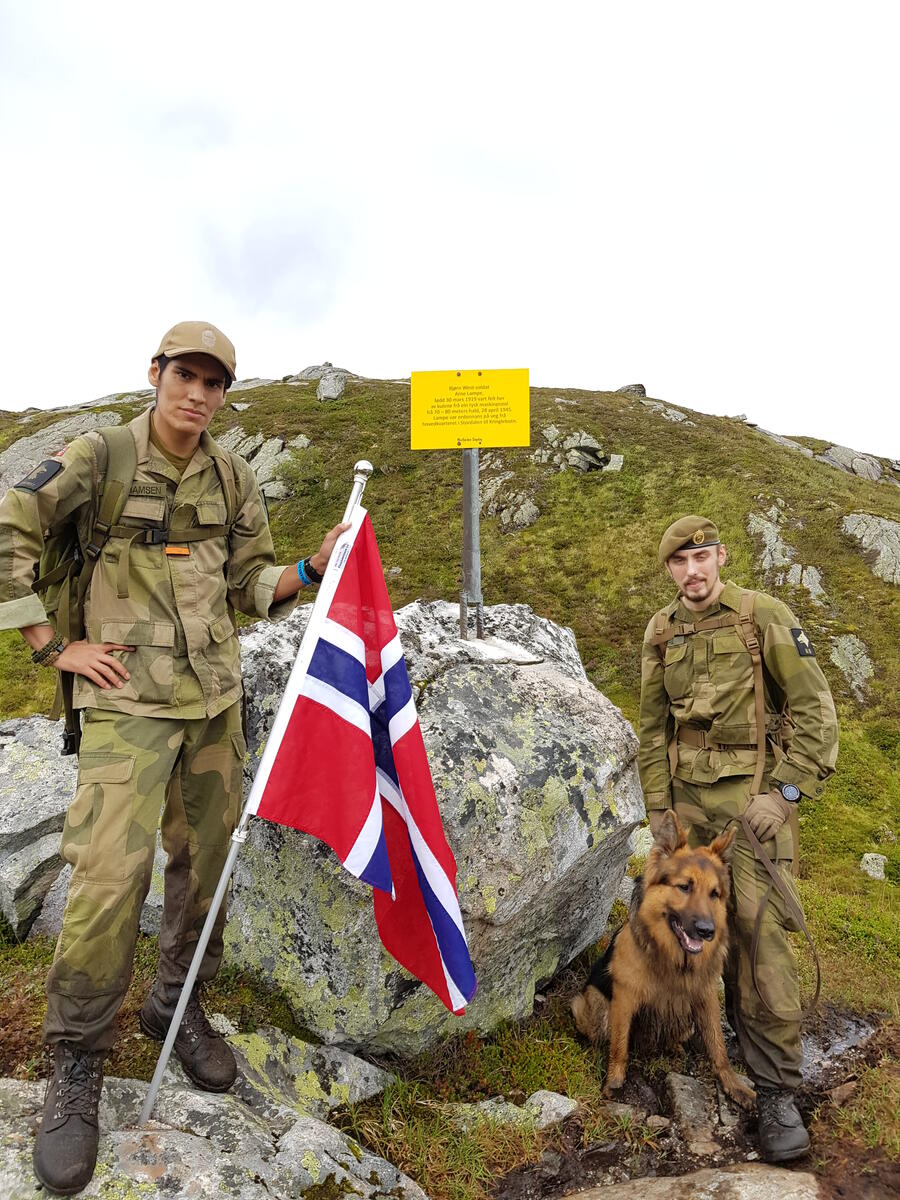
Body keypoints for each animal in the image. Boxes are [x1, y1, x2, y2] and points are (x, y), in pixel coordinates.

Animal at [571, 810, 756, 1110]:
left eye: (714, 894)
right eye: (684, 887)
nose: (707, 931)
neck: (675, 960)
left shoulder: (705, 996)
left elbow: (718, 1046)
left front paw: (733, 1085)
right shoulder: (625, 997)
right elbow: (619, 1046)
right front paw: (614, 1082)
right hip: (596, 1009)